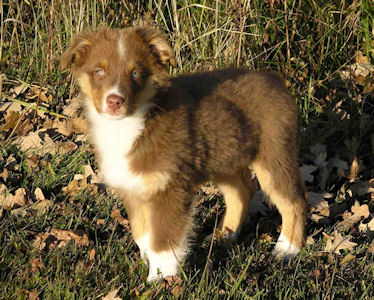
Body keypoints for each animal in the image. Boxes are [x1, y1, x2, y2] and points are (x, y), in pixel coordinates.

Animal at [60, 25, 306, 282]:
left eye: (136, 74)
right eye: (99, 71)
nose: (114, 101)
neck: (131, 125)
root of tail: (275, 78)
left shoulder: (171, 187)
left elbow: (163, 239)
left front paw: (160, 278)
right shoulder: (133, 187)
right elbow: (142, 233)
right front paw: (148, 262)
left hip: (273, 154)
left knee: (294, 200)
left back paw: (287, 248)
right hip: (224, 156)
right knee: (241, 191)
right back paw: (224, 234)